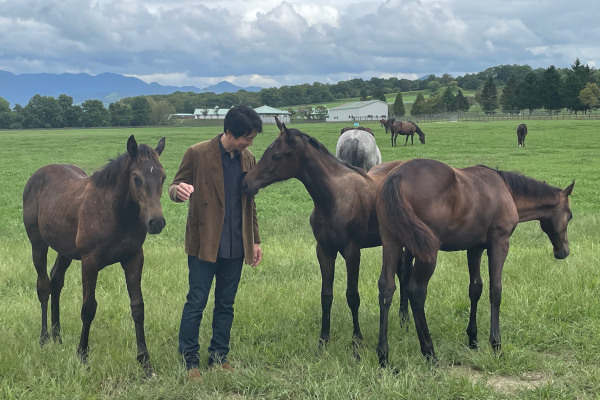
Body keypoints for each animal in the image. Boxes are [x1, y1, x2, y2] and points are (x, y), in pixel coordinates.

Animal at [23, 136, 166, 376]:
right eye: (136, 177)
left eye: (163, 177)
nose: (156, 222)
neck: (117, 212)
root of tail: (36, 175)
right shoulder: (90, 262)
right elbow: (88, 308)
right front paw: (82, 356)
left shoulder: (134, 258)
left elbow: (138, 307)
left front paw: (145, 362)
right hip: (38, 244)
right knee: (43, 286)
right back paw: (44, 338)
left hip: (65, 250)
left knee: (56, 281)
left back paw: (58, 336)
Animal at [241, 118, 406, 356]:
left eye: (276, 155)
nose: (246, 183)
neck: (334, 197)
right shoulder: (324, 250)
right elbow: (326, 295)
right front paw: (323, 342)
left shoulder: (352, 250)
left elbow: (352, 295)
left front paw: (356, 341)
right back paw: (403, 321)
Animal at [378, 159, 576, 366]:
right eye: (570, 215)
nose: (563, 251)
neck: (505, 189)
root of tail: (397, 176)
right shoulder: (499, 244)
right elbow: (495, 291)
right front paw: (496, 345)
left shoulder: (475, 248)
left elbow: (475, 288)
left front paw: (473, 339)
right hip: (427, 252)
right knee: (416, 291)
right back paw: (429, 353)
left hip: (392, 243)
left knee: (387, 288)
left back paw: (383, 356)